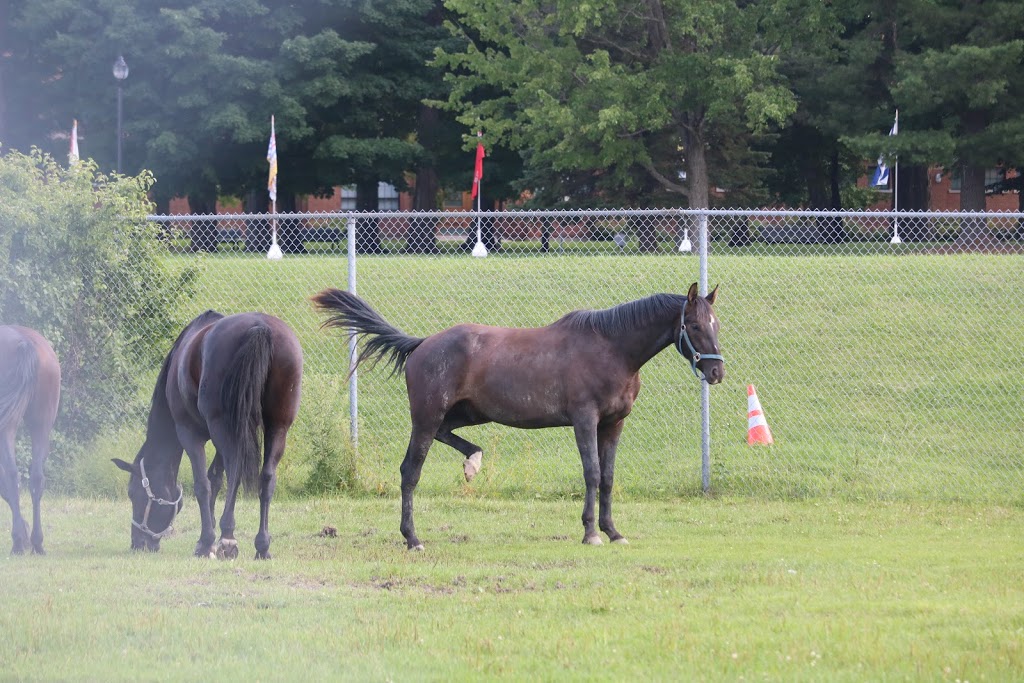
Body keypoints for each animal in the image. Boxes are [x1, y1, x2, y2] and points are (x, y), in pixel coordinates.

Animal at [0, 325, 60, 557]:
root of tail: (23, 340)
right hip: (41, 423)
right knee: (35, 477)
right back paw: (36, 542)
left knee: (10, 474)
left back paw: (19, 541)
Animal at [315, 282, 724, 548]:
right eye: (694, 325)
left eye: (716, 324)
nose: (717, 372)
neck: (612, 349)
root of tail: (421, 344)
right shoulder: (585, 420)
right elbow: (592, 473)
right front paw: (591, 533)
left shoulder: (613, 424)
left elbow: (608, 478)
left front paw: (613, 532)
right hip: (426, 418)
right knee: (410, 472)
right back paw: (412, 537)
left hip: (469, 414)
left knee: (449, 437)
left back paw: (473, 462)